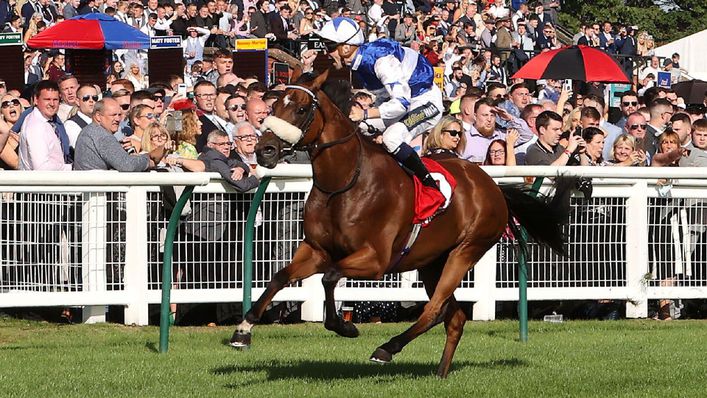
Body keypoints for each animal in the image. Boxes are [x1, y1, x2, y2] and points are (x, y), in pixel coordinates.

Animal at [232, 70, 568, 378]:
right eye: (274, 106)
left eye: (301, 109)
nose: (264, 150)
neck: (345, 183)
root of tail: (493, 186)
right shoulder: (316, 250)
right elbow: (279, 278)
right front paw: (243, 330)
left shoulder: (375, 260)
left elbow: (329, 277)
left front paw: (344, 327)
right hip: (432, 261)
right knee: (454, 317)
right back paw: (440, 372)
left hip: (466, 250)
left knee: (434, 309)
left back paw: (387, 348)